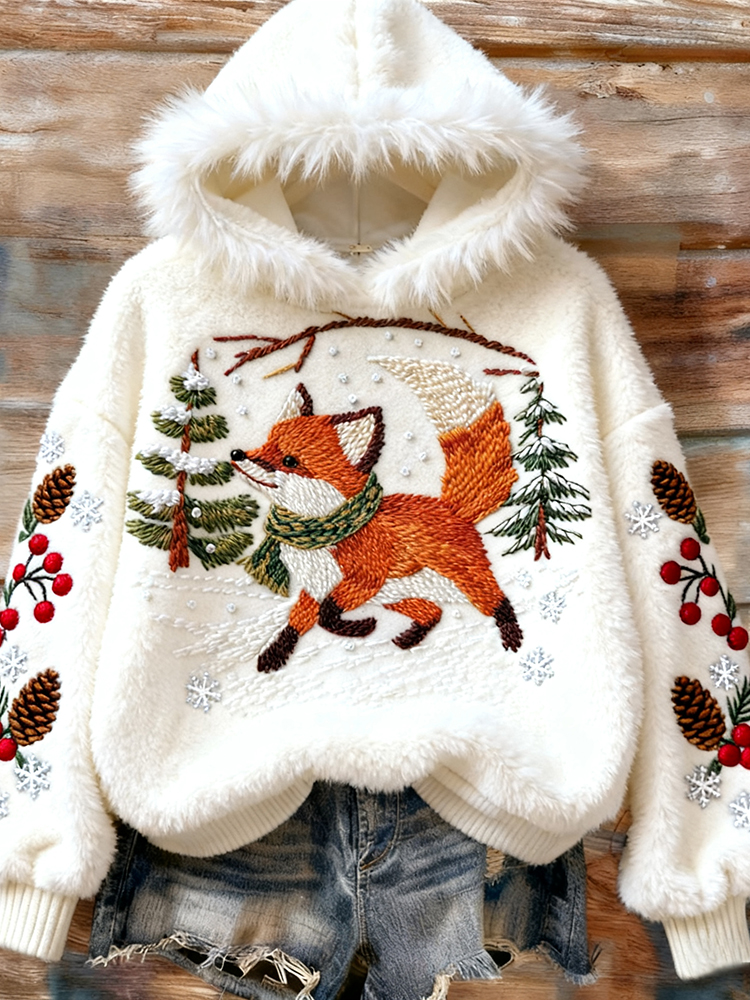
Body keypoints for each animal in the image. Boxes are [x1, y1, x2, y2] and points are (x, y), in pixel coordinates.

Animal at [230, 356, 522, 672]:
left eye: (289, 460)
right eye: (265, 443)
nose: (237, 454)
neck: (321, 533)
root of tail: (450, 509)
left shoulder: (365, 578)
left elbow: (327, 615)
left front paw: (360, 628)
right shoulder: (317, 586)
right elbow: (299, 622)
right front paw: (274, 655)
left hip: (463, 580)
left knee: (498, 601)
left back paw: (512, 636)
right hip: (397, 595)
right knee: (432, 611)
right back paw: (409, 639)